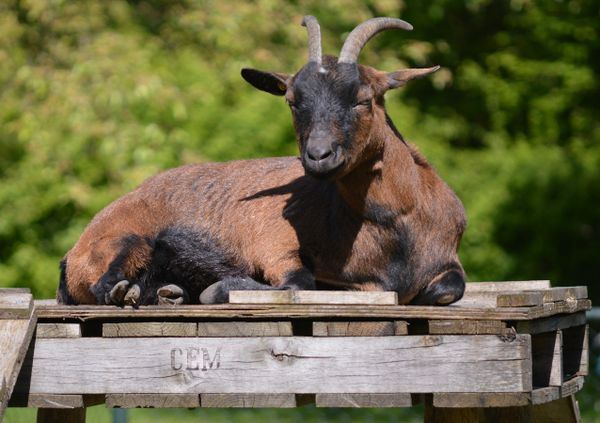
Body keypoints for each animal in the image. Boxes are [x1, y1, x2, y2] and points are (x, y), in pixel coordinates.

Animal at [56, 17, 466, 308]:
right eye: (292, 101)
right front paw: (219, 288)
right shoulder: (275, 243)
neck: (395, 225)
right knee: (104, 284)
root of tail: (72, 255)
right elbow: (299, 283)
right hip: (124, 240)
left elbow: (450, 288)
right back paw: (139, 293)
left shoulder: (446, 263)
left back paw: (167, 293)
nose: (318, 156)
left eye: (364, 99)